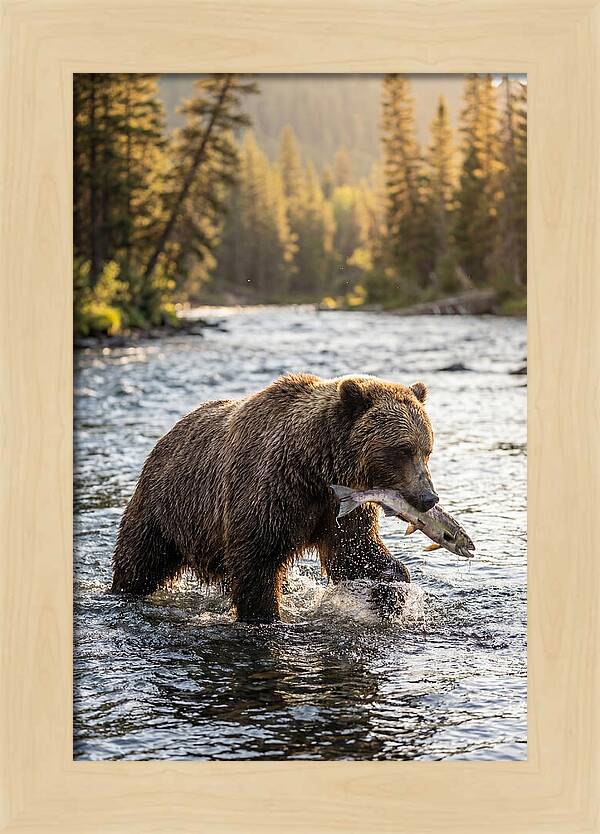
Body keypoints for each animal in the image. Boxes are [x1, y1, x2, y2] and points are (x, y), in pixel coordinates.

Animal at [111, 373, 438, 623]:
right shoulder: (272, 491)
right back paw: (123, 591)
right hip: (167, 508)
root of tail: (167, 435)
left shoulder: (339, 506)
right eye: (403, 449)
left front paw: (391, 590)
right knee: (140, 560)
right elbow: (257, 561)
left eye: (427, 449)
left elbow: (355, 551)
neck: (316, 468)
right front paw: (264, 615)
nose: (429, 497)